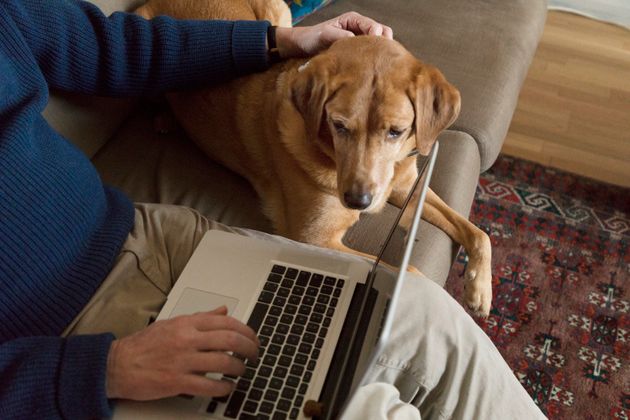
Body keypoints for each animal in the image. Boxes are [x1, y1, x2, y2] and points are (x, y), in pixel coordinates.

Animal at [137, 0, 494, 316]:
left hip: (276, 10)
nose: (358, 201)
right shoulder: (314, 239)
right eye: (339, 125)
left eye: (396, 131)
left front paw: (479, 288)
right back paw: (163, 118)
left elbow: (477, 232)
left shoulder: (409, 187)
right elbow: (413, 274)